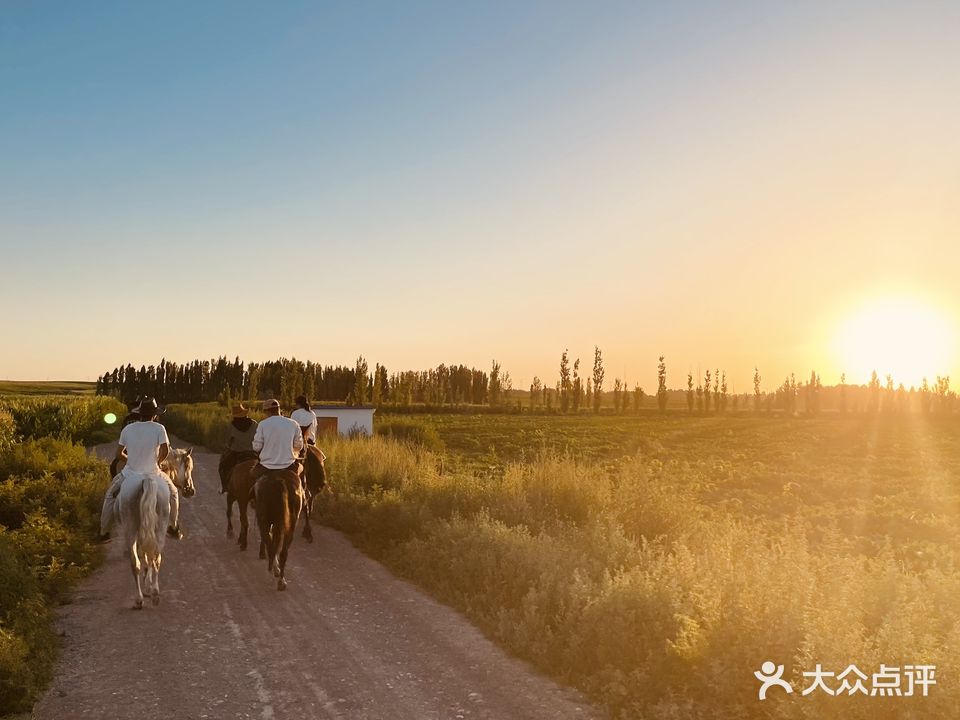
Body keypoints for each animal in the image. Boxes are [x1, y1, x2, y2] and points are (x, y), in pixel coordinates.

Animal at [117, 476, 170, 612]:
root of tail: (147, 479)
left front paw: (148, 586)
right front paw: (148, 586)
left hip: (131, 525)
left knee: (138, 561)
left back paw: (143, 598)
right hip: (160, 525)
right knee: (154, 558)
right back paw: (152, 595)